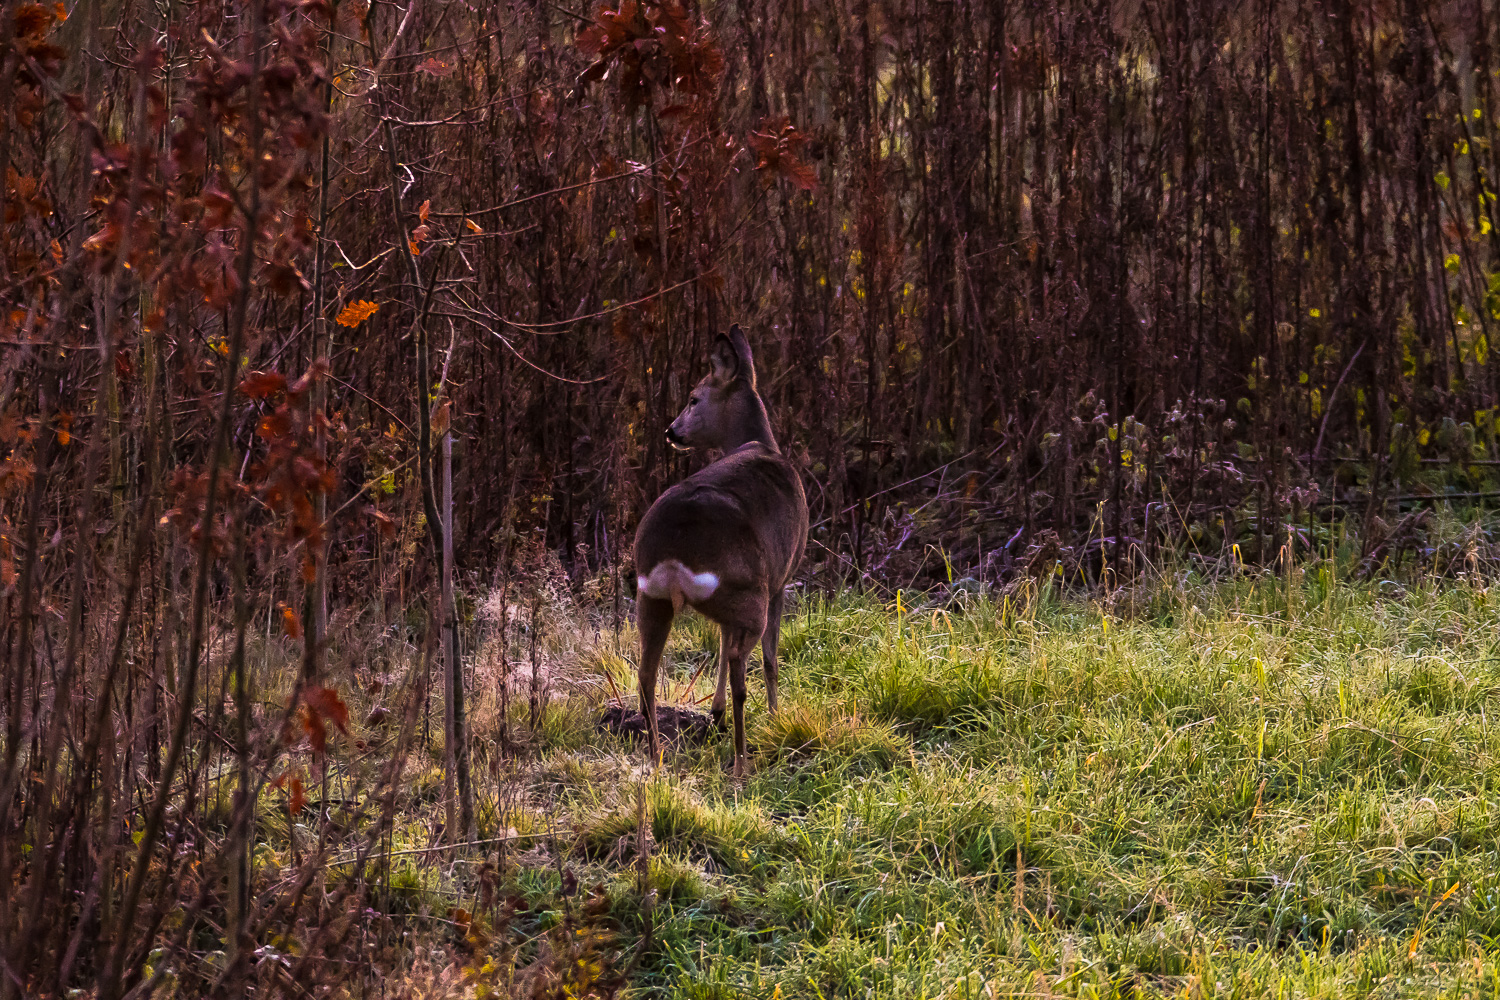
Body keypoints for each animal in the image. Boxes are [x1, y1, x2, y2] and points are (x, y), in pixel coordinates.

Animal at [639, 325, 816, 779]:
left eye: (693, 398)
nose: (671, 431)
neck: (760, 443)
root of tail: (675, 552)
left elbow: (717, 643)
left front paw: (714, 711)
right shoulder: (781, 580)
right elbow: (771, 658)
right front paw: (775, 714)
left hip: (651, 595)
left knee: (646, 672)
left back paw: (656, 759)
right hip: (749, 590)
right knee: (742, 663)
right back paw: (741, 762)